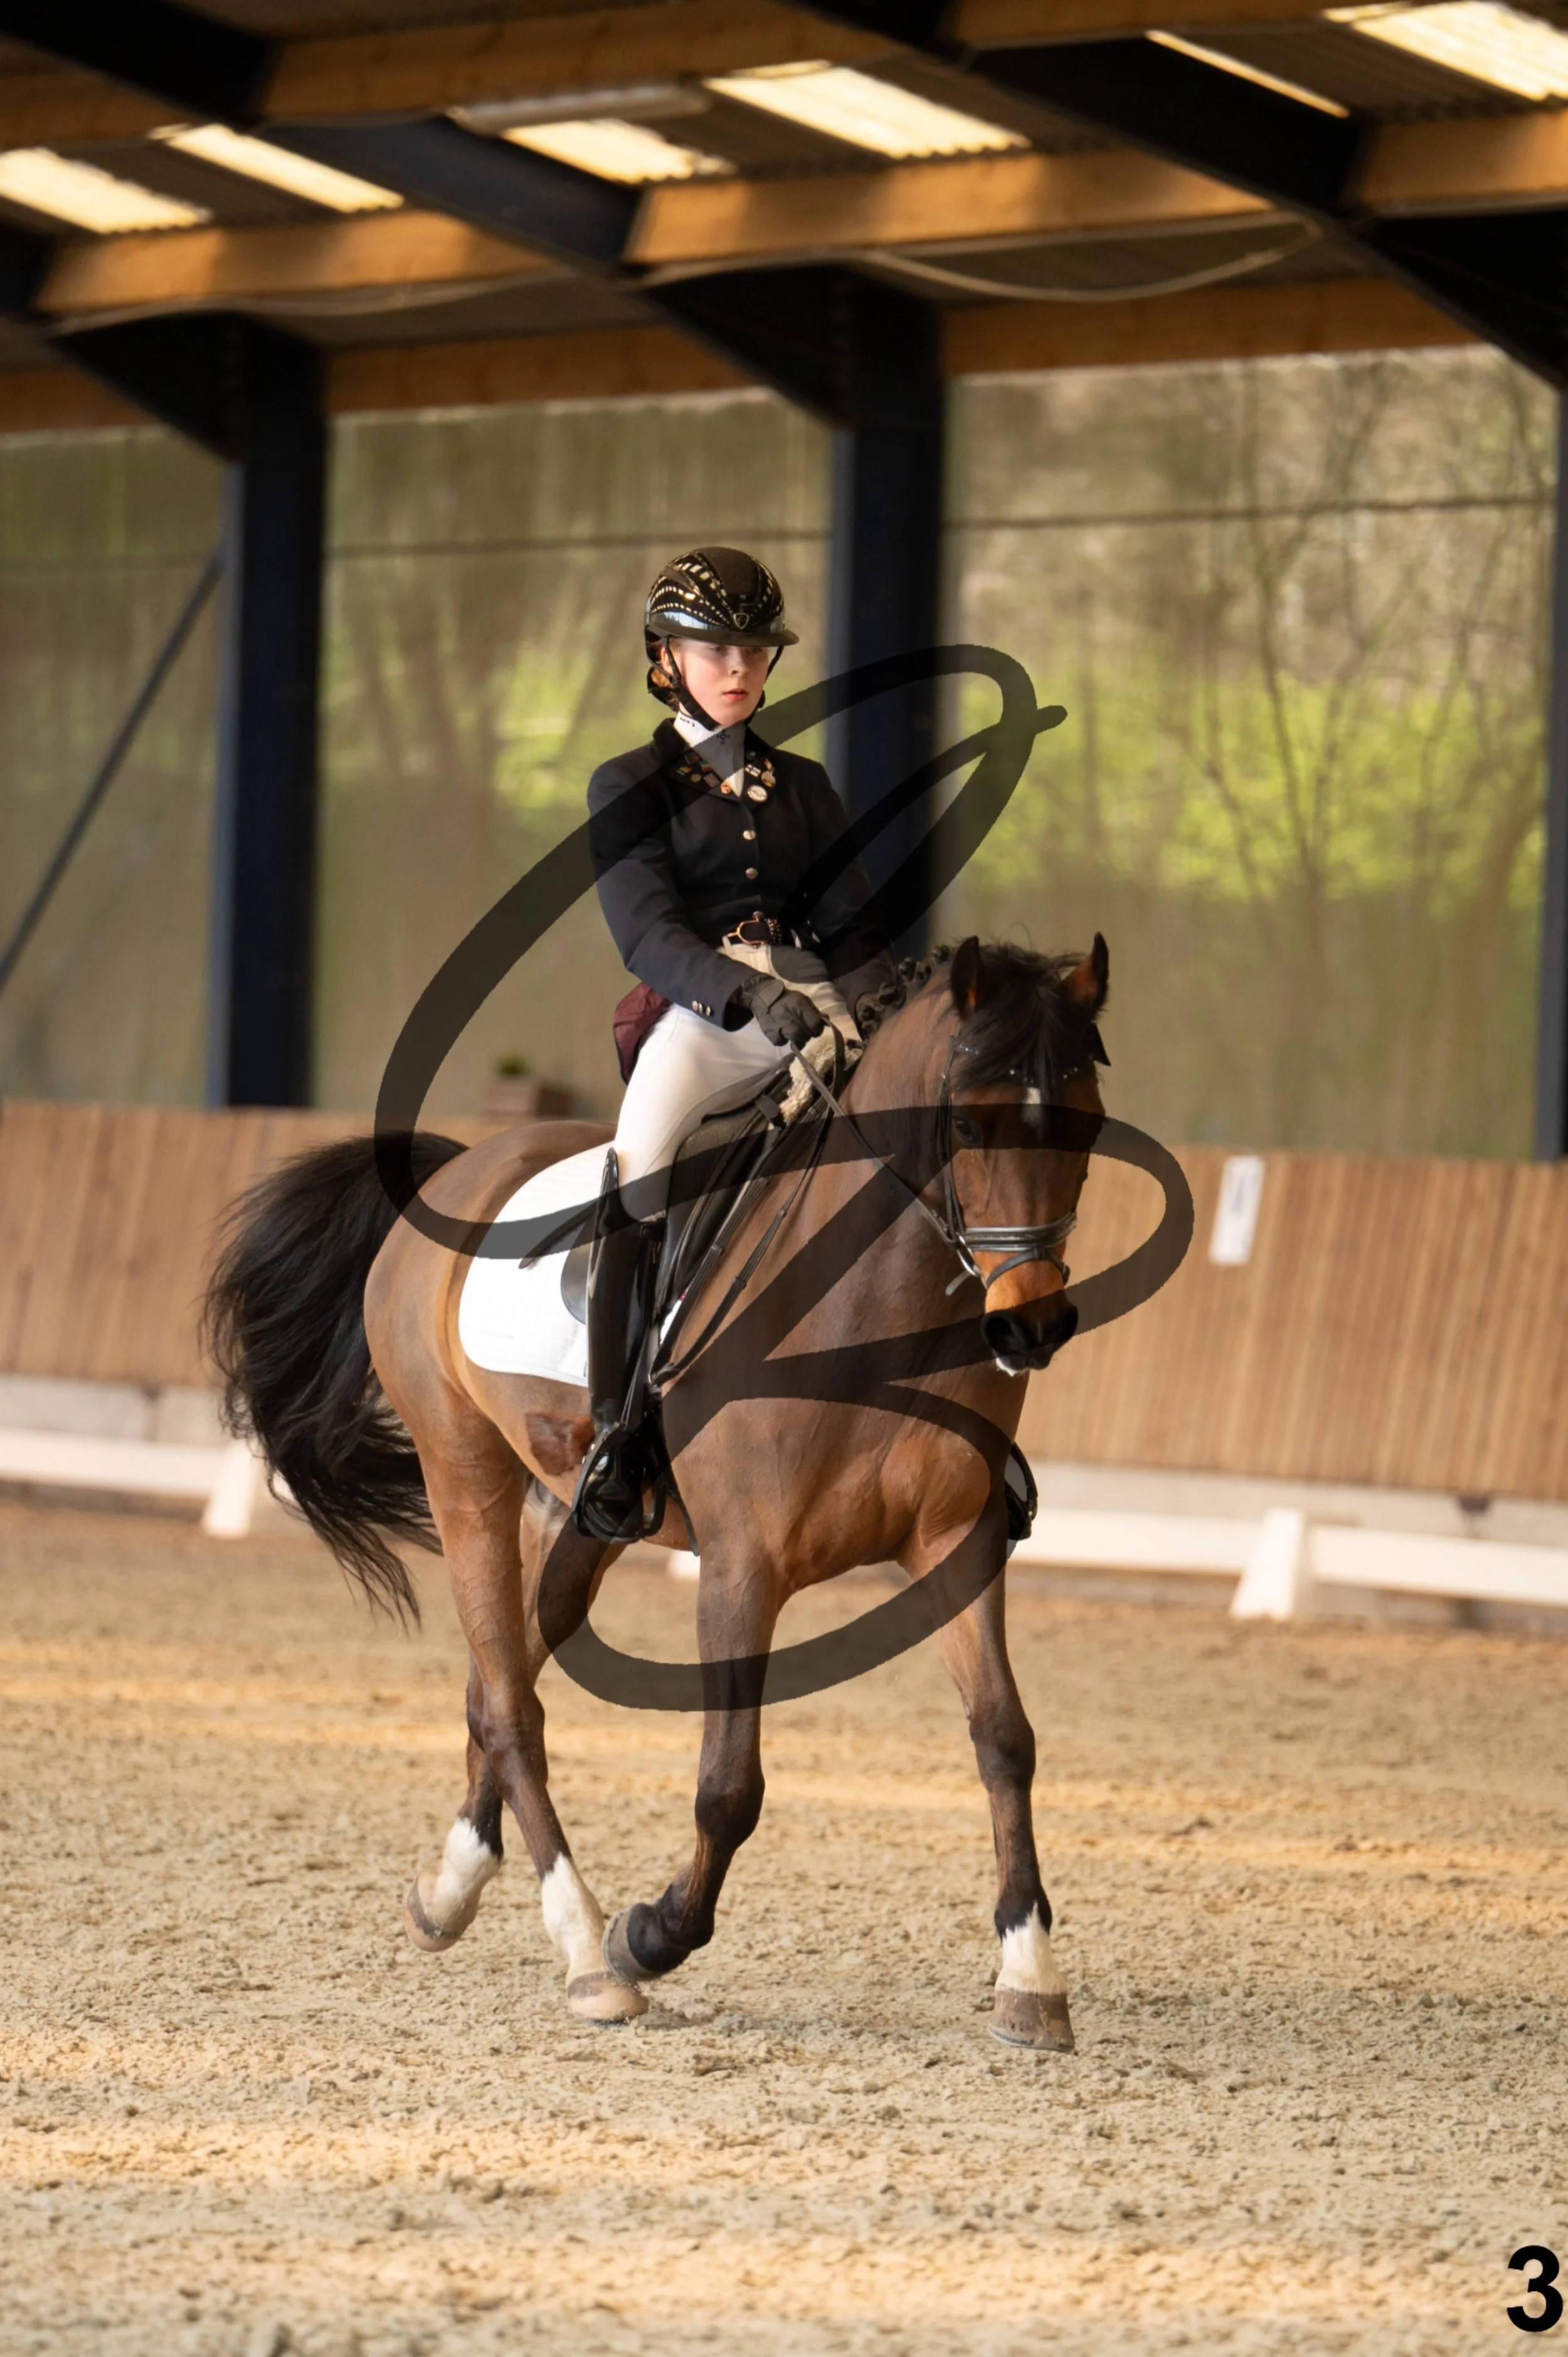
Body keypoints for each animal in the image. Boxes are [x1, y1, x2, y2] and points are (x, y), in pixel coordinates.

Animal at [207, 934, 1108, 2051]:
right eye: (971, 1121)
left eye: (1088, 1122)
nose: (1032, 1326)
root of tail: (460, 1162)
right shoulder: (742, 1565)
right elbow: (730, 1787)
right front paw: (652, 1933)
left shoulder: (958, 1539)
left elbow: (1004, 1739)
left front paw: (1032, 1971)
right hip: (464, 1473)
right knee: (512, 1704)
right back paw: (588, 1950)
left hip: (587, 1517)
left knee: (497, 1679)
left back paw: (450, 1891)